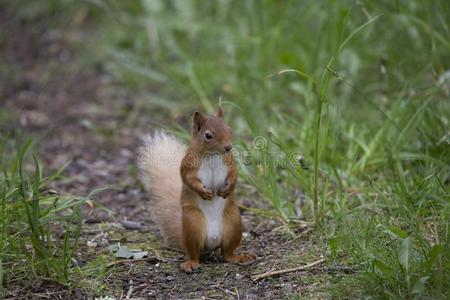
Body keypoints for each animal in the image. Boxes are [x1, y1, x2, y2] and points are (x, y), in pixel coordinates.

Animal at [137, 106, 255, 274]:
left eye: (229, 129)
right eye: (208, 135)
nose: (228, 147)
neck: (213, 155)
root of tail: (212, 241)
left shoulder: (230, 162)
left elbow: (234, 174)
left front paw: (228, 189)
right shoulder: (188, 166)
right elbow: (188, 180)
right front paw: (204, 192)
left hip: (233, 223)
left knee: (228, 253)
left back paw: (239, 258)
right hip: (193, 225)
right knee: (194, 253)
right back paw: (190, 263)